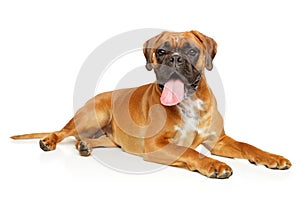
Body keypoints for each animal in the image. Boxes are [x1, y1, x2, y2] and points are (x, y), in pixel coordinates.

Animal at [10, 30, 292, 178]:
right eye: (161, 51)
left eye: (191, 51)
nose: (175, 58)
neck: (188, 102)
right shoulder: (157, 145)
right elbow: (190, 152)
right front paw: (213, 165)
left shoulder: (218, 141)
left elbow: (248, 146)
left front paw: (272, 158)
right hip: (94, 114)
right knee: (62, 131)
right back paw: (48, 141)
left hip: (110, 137)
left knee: (90, 139)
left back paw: (85, 145)